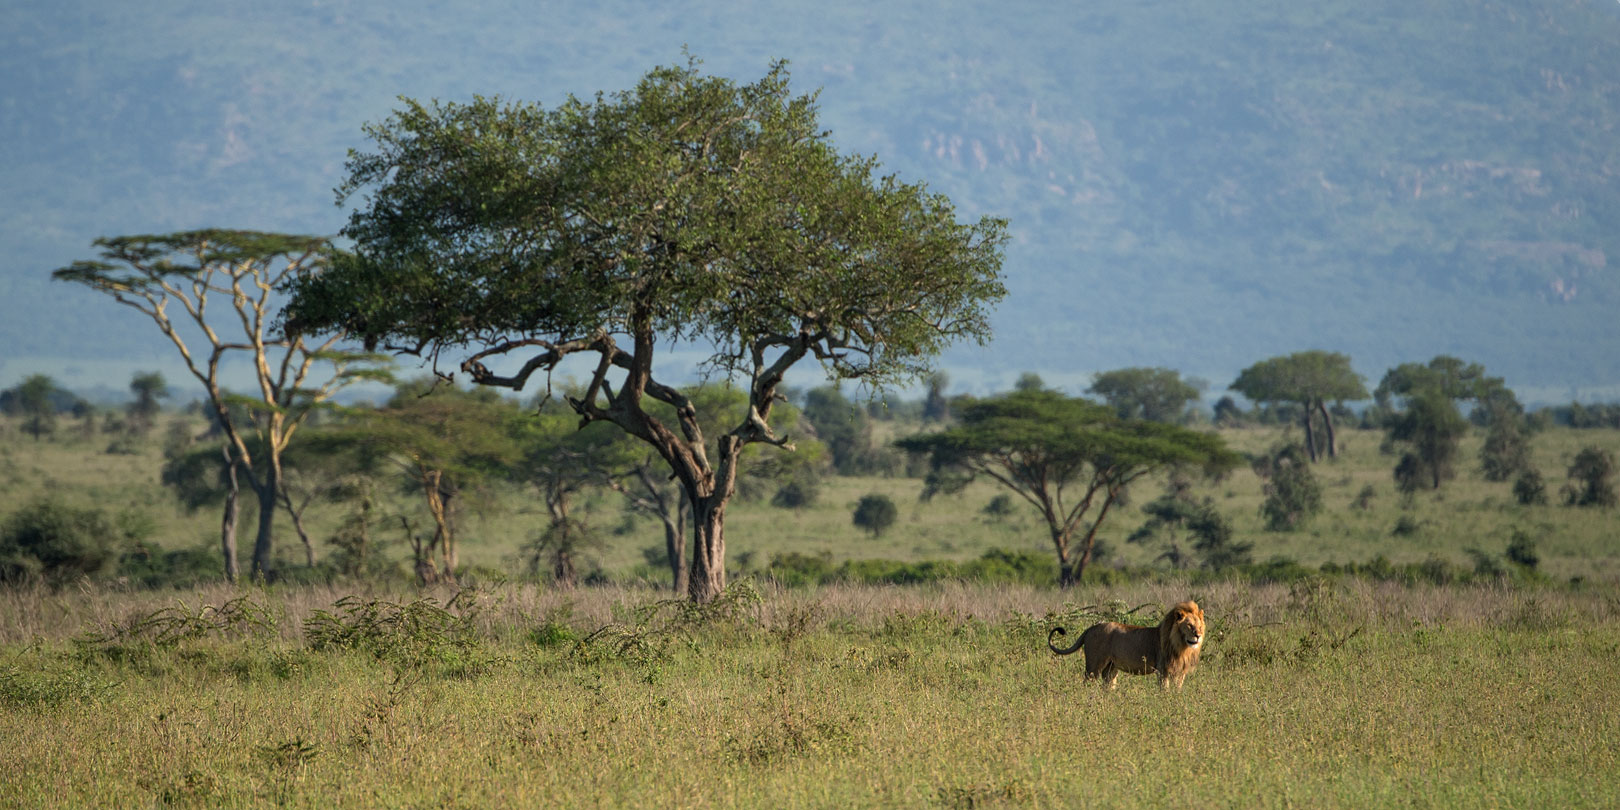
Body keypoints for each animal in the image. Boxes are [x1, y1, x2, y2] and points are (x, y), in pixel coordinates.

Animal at [1049, 602, 1205, 690]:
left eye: (1199, 626)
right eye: (1189, 625)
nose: (1198, 635)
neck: (1182, 646)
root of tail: (1092, 627)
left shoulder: (1181, 671)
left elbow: (1177, 689)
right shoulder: (1162, 670)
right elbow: (1164, 690)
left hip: (1111, 669)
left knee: (1107, 685)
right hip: (1094, 666)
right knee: (1087, 683)